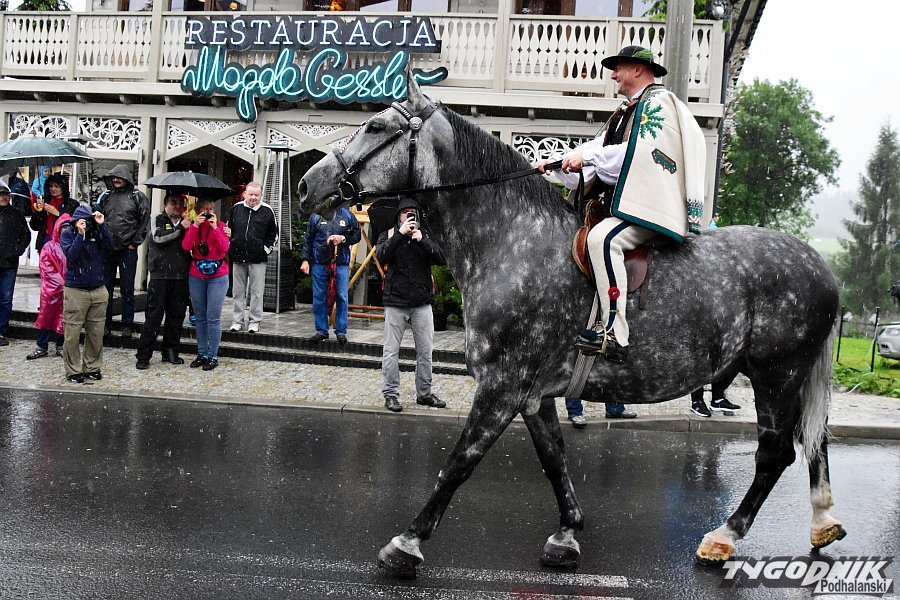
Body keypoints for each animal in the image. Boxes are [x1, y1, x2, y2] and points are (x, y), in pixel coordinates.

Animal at [298, 72, 846, 577]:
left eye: (374, 125)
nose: (308, 184)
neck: (511, 240)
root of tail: (821, 266)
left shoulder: (501, 386)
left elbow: (459, 462)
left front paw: (407, 543)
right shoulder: (533, 394)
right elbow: (554, 458)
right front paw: (567, 534)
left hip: (776, 375)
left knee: (775, 454)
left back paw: (723, 537)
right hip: (789, 379)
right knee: (814, 441)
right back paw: (822, 523)